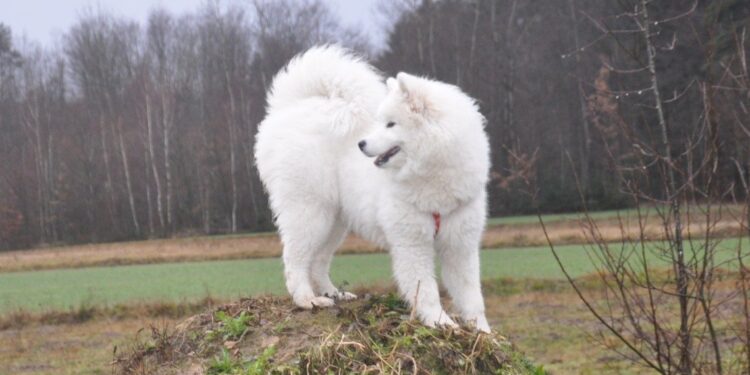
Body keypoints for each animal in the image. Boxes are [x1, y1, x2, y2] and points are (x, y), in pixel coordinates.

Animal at [258, 44, 494, 332]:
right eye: (382, 122)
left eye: (390, 124)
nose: (361, 144)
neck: (432, 173)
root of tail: (290, 108)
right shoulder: (412, 243)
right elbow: (426, 290)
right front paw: (440, 322)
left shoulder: (460, 245)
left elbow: (472, 297)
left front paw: (483, 332)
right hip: (310, 212)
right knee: (295, 259)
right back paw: (307, 299)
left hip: (334, 221)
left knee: (319, 261)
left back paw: (332, 293)